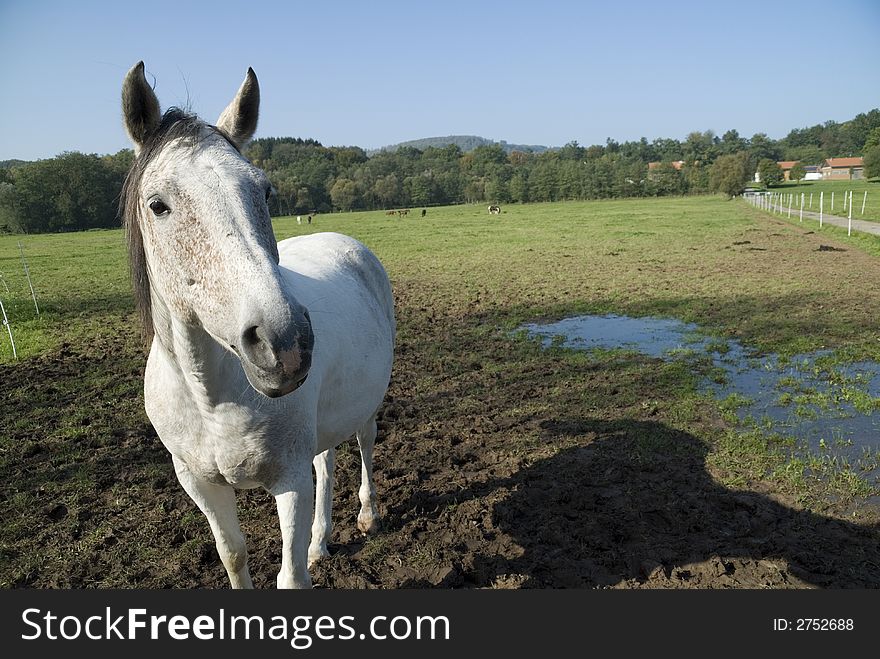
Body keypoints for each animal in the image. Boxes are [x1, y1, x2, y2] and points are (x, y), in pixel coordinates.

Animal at [118, 60, 394, 588]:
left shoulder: (289, 479)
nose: (282, 344)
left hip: (365, 407)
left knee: (365, 445)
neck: (211, 396)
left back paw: (367, 516)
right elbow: (232, 554)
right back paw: (320, 542)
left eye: (264, 191)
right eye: (158, 204)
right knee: (326, 462)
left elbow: (290, 578)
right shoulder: (200, 483)